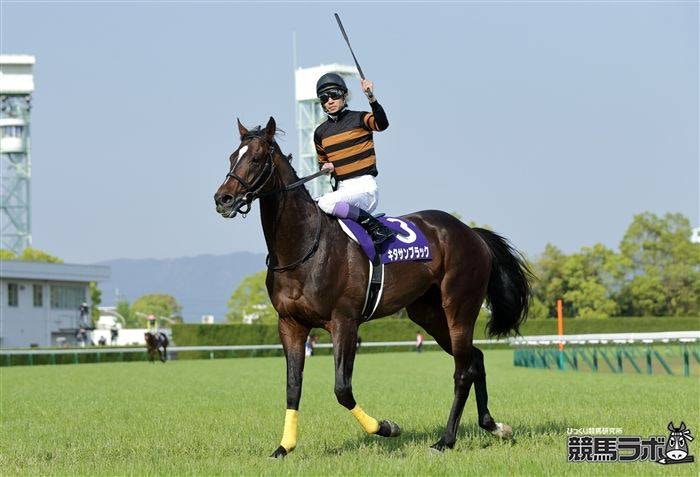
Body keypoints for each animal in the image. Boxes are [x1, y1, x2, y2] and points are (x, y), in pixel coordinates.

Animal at [213, 116, 532, 458]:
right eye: (231, 158)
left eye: (256, 159)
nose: (223, 199)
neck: (304, 248)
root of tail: (470, 232)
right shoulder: (290, 323)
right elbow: (292, 387)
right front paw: (283, 447)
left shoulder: (344, 322)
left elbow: (342, 389)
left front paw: (386, 428)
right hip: (429, 314)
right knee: (475, 359)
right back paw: (494, 426)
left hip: (459, 307)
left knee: (462, 371)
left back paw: (445, 441)